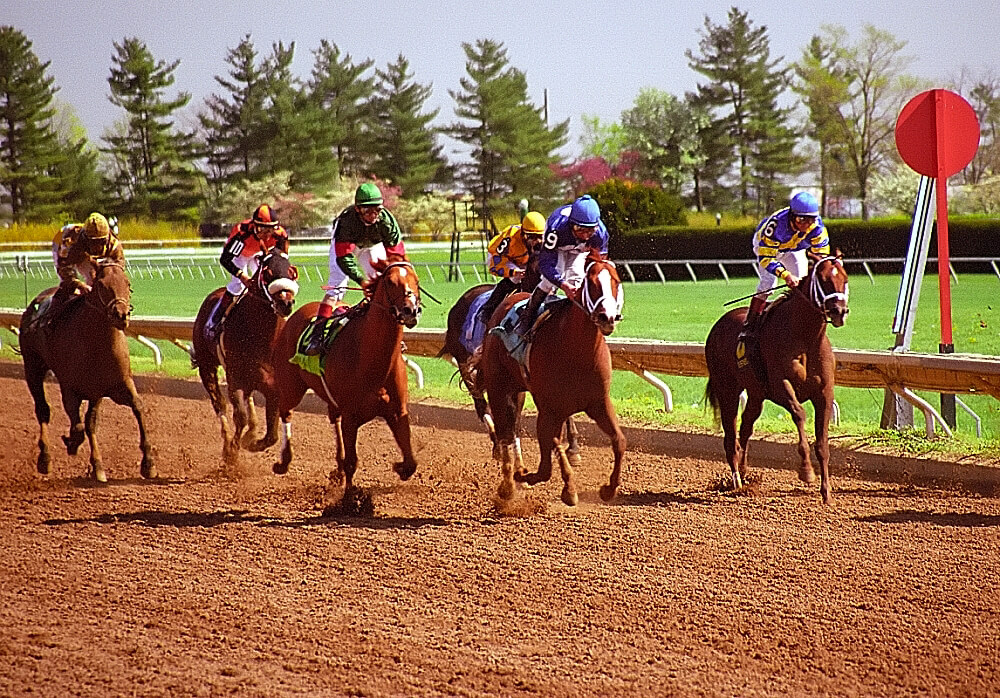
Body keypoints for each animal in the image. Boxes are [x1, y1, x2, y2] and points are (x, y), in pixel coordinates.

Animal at [18, 258, 154, 482]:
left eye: (128, 284)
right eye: (102, 285)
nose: (121, 315)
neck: (95, 343)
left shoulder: (111, 387)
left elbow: (135, 408)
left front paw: (148, 462)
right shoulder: (70, 389)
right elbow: (79, 426)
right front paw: (75, 445)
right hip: (33, 367)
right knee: (43, 410)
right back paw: (45, 458)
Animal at [188, 250, 294, 462]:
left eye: (291, 272)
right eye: (268, 273)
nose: (286, 303)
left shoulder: (273, 387)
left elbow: (272, 435)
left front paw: (252, 442)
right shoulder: (235, 378)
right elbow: (240, 416)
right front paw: (231, 451)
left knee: (249, 399)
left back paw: (251, 431)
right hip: (207, 365)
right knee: (219, 404)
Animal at [270, 256, 422, 512]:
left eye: (416, 281)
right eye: (390, 282)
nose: (411, 310)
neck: (369, 355)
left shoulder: (397, 411)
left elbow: (411, 460)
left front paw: (399, 467)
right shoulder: (352, 416)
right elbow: (353, 461)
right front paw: (351, 500)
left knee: (333, 418)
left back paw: (337, 469)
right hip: (292, 386)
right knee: (285, 411)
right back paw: (284, 461)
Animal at [476, 253, 624, 502]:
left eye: (616, 281)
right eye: (591, 283)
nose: (608, 317)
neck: (576, 351)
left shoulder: (599, 403)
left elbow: (619, 441)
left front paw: (608, 489)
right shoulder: (548, 409)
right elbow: (550, 453)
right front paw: (567, 489)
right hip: (498, 388)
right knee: (505, 432)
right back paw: (508, 485)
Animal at [704, 253, 852, 502]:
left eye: (845, 278)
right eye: (822, 280)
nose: (838, 310)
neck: (804, 338)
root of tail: (719, 324)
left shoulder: (824, 393)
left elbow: (822, 444)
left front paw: (827, 493)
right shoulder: (780, 386)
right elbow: (800, 414)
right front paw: (806, 471)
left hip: (755, 393)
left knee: (745, 427)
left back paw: (744, 473)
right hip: (727, 389)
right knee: (730, 435)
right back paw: (736, 481)